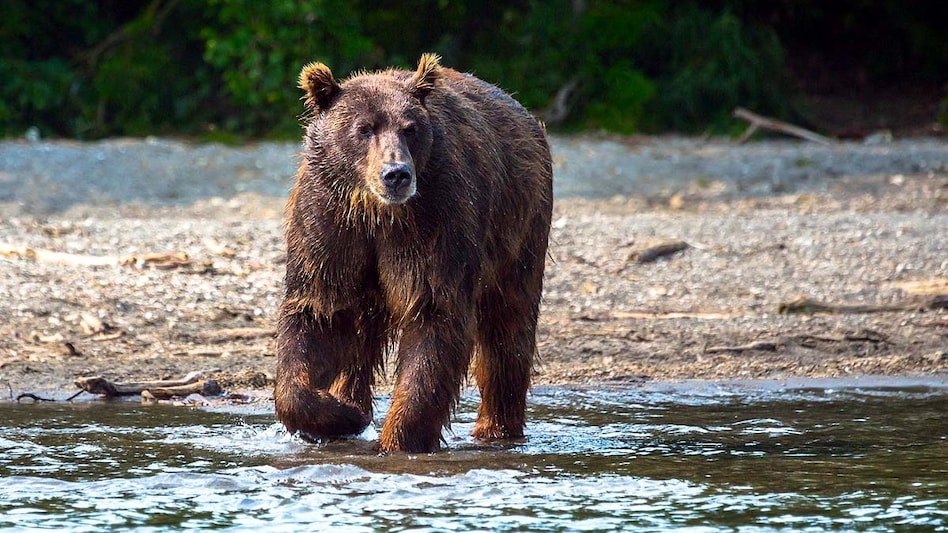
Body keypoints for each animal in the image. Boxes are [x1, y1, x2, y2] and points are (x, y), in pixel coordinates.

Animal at [275, 53, 553, 453]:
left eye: (410, 129)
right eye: (364, 129)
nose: (396, 174)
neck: (377, 213)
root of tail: (527, 116)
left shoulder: (436, 219)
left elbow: (433, 315)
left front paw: (398, 440)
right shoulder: (329, 223)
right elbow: (317, 313)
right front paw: (341, 414)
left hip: (520, 227)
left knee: (508, 330)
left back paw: (496, 430)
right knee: (360, 338)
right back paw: (352, 401)